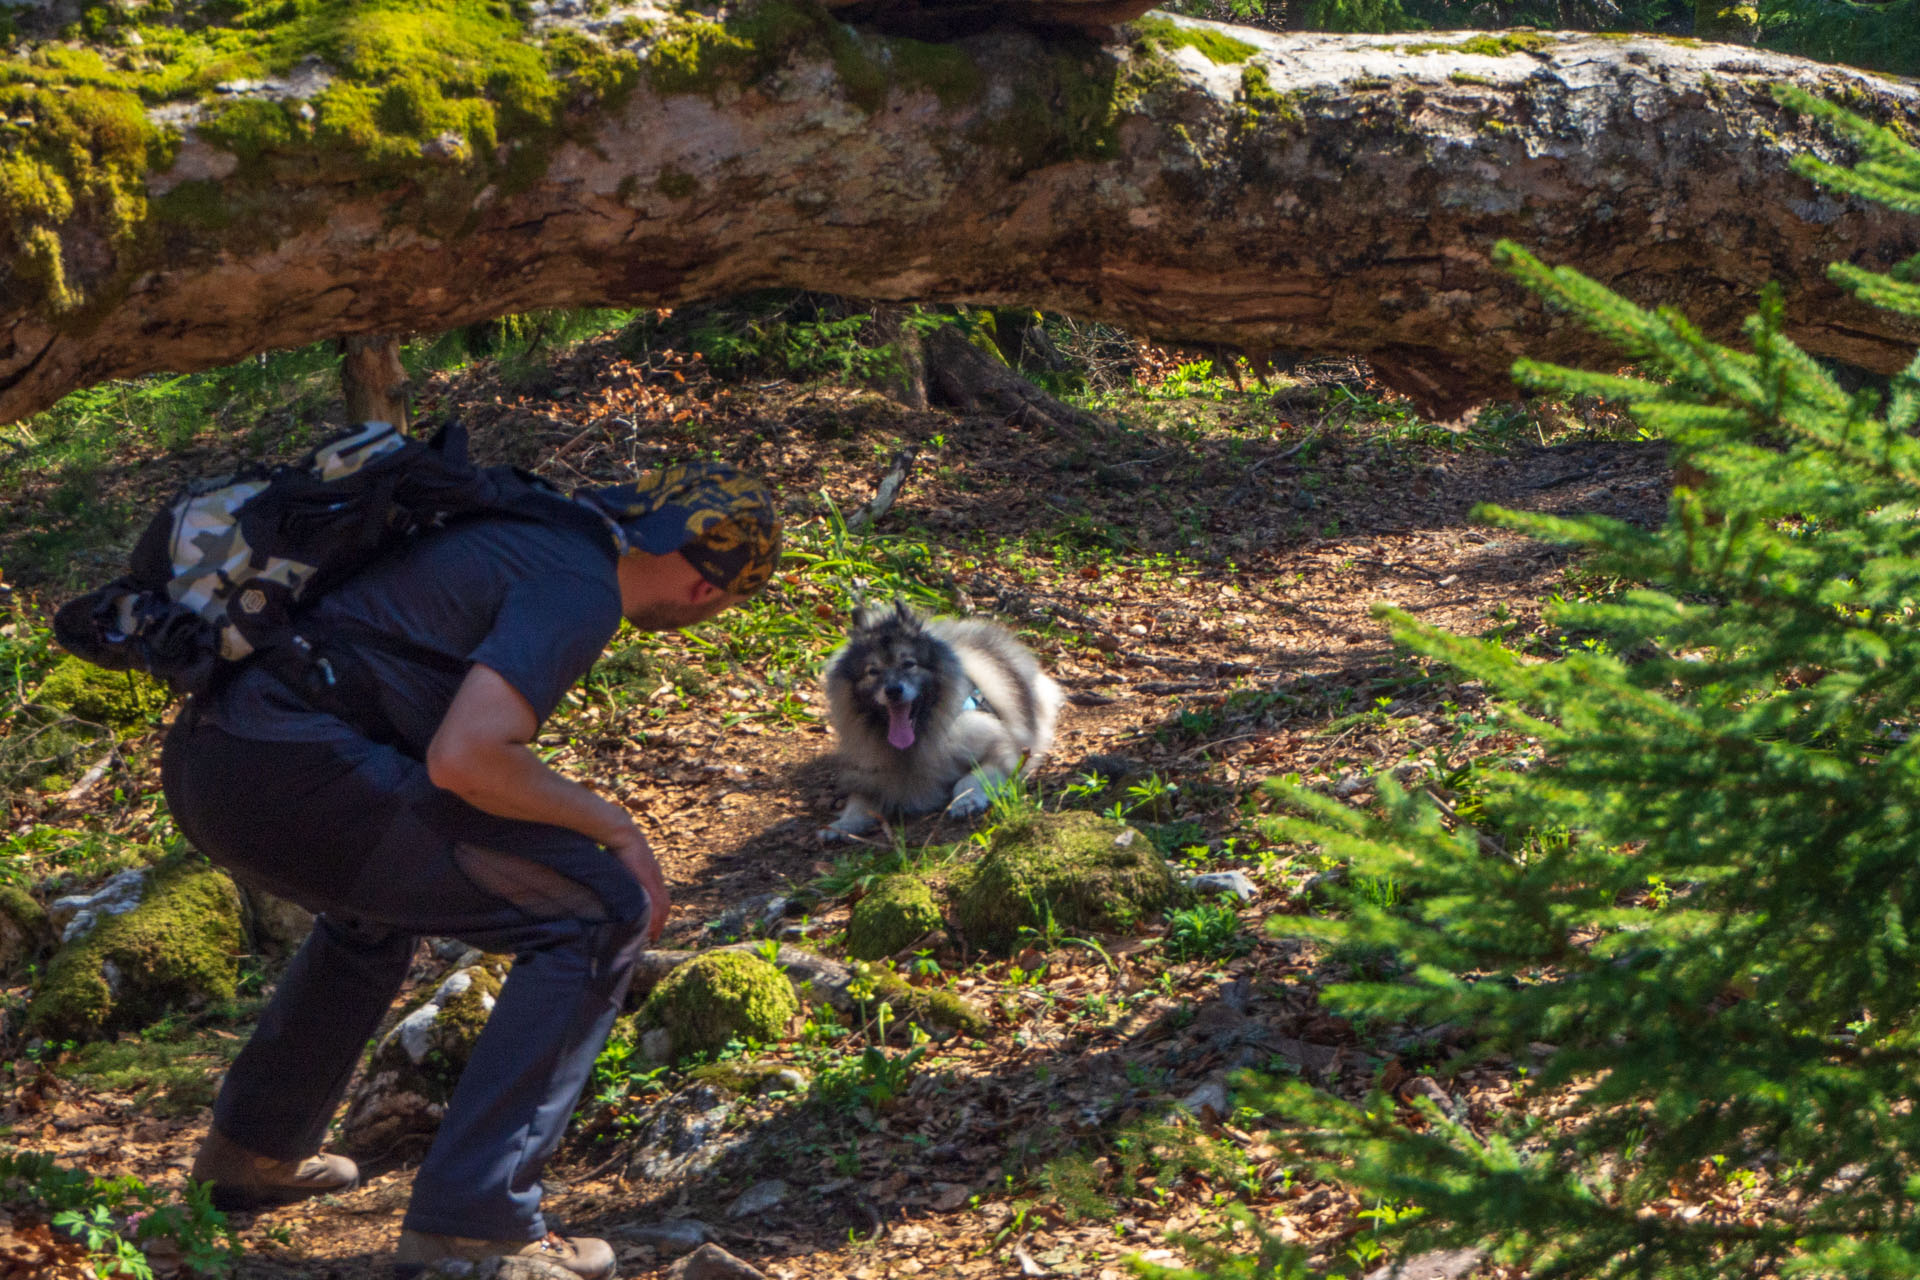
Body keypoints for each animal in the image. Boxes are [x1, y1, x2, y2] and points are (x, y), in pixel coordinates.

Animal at [817, 602, 1067, 840]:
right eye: (873, 671)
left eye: (909, 664)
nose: (893, 690)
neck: (915, 744)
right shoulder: (872, 777)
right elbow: (858, 802)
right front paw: (841, 825)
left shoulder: (1001, 753)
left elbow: (968, 780)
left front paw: (965, 801)